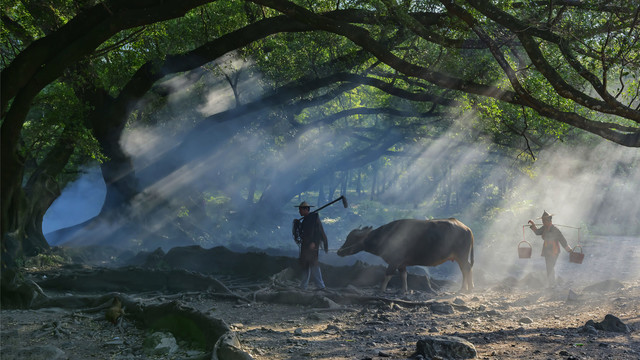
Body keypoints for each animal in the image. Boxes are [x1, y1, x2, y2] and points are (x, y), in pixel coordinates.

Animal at [338, 219, 472, 292]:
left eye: (353, 238)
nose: (339, 251)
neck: (386, 236)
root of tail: (466, 228)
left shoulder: (394, 261)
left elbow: (387, 274)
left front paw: (381, 289)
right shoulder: (401, 263)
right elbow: (404, 275)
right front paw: (404, 290)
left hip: (462, 256)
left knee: (466, 269)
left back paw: (464, 288)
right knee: (467, 269)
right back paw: (468, 287)